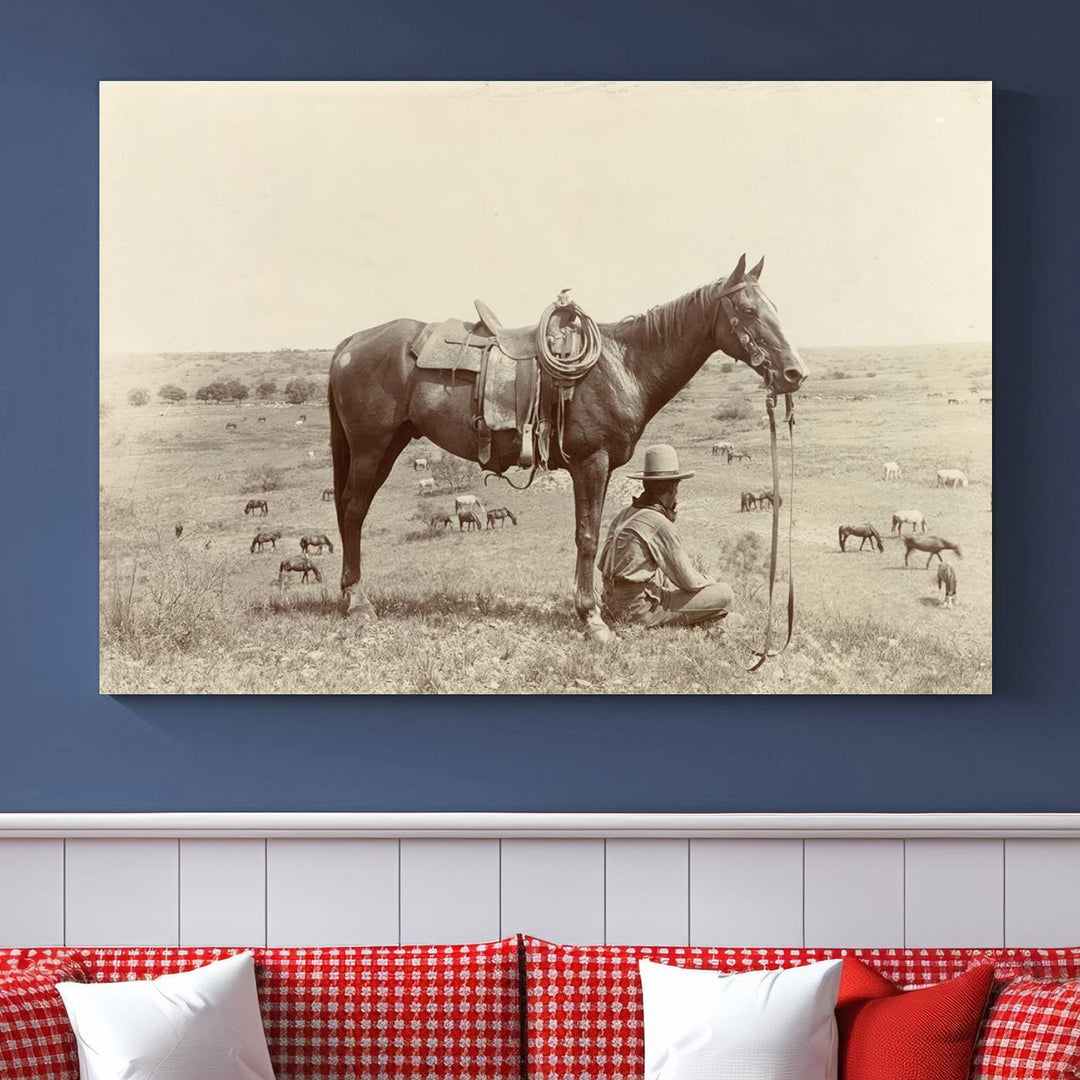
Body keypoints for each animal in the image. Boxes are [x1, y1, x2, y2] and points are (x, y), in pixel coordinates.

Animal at [324, 252, 807, 639]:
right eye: (748, 309)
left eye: (775, 307)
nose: (794, 373)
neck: (622, 364)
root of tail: (350, 343)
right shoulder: (590, 463)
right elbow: (587, 537)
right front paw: (591, 618)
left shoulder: (603, 467)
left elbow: (595, 532)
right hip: (370, 448)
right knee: (353, 510)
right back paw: (359, 602)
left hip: (388, 447)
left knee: (351, 511)